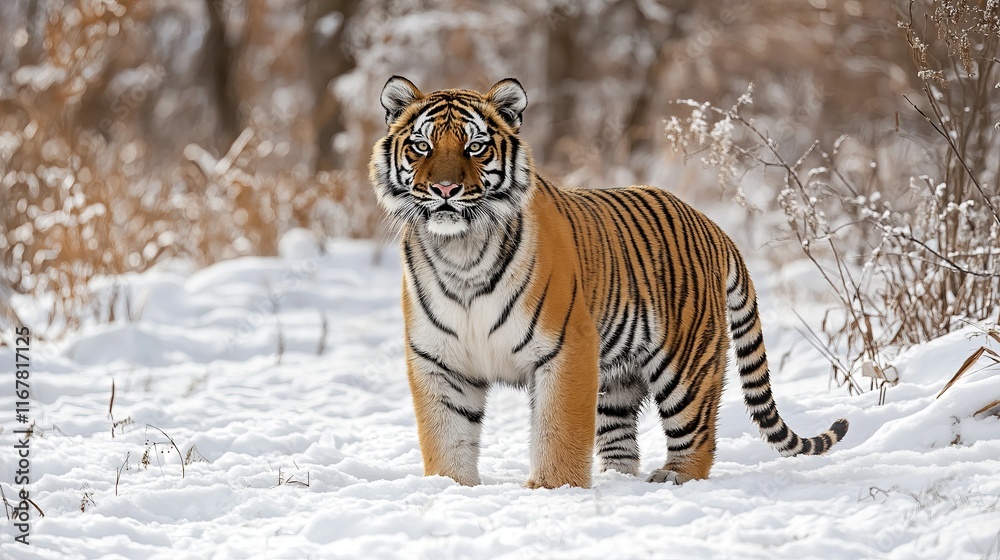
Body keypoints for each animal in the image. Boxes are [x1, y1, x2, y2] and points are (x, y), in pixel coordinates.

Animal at [369, 76, 849, 489]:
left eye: (475, 147)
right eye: (422, 145)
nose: (445, 189)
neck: (461, 251)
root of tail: (711, 225)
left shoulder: (565, 349)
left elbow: (559, 431)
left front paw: (552, 489)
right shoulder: (439, 358)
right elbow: (446, 435)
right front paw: (451, 487)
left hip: (685, 366)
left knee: (696, 435)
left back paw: (673, 477)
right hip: (615, 375)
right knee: (620, 441)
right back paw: (619, 480)